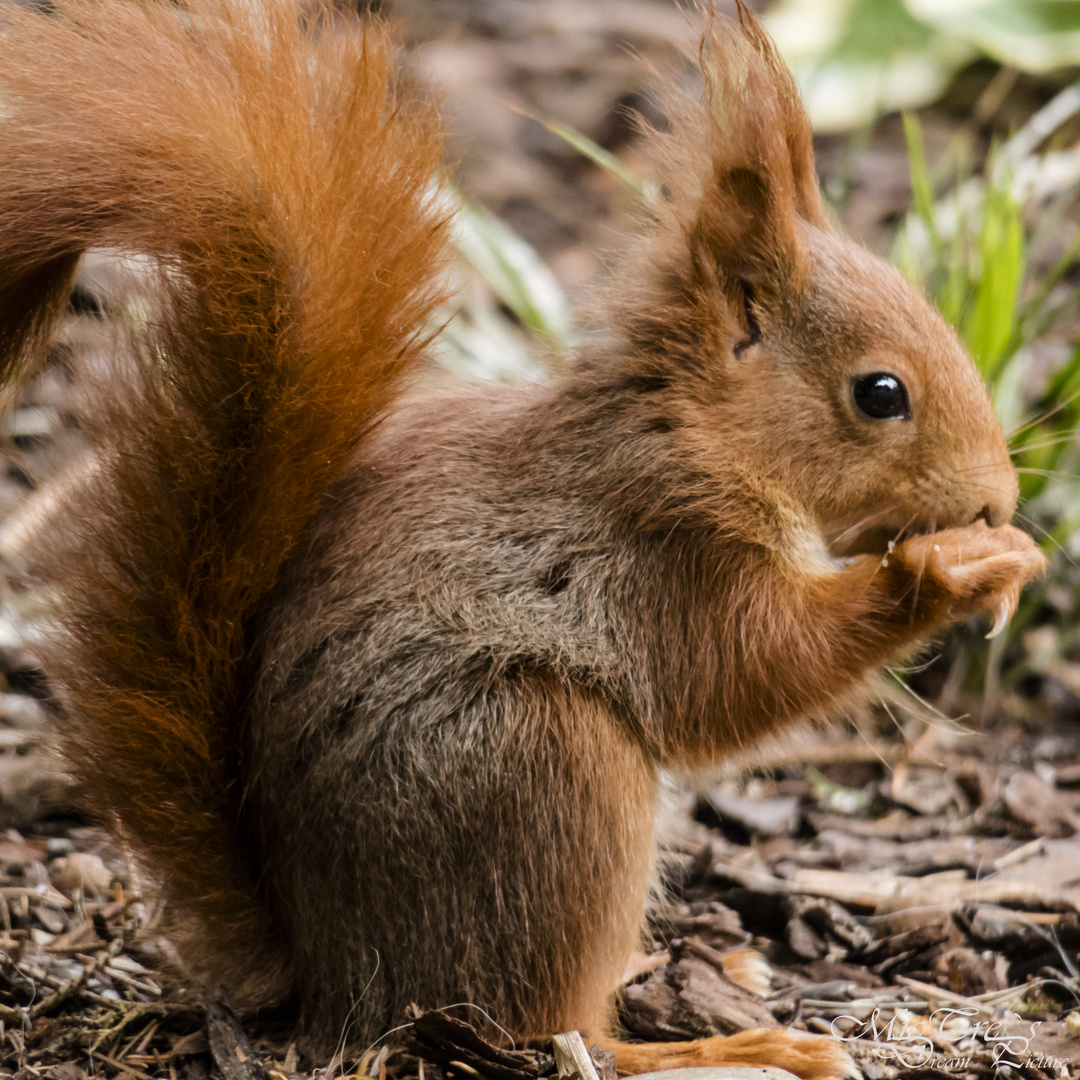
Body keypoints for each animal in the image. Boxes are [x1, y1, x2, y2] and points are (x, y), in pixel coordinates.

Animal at [0, 2, 1045, 1080]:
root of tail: (329, 973)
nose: (998, 497)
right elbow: (742, 674)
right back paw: (725, 1044)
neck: (691, 428)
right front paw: (956, 566)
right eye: (880, 394)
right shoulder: (661, 551)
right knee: (554, 1030)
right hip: (546, 769)